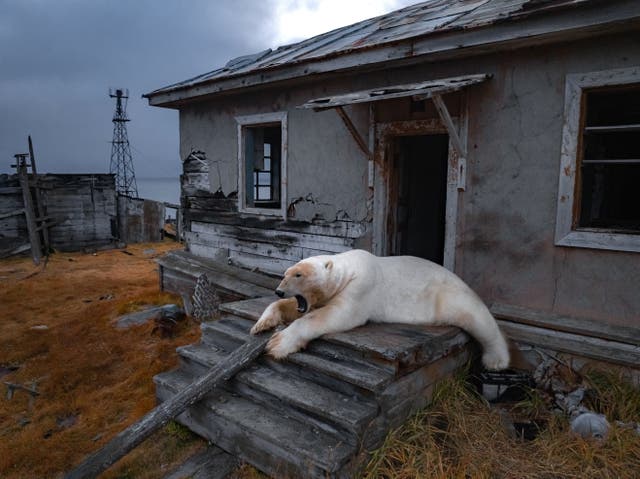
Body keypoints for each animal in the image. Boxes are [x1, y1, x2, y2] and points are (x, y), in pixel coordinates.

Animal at [251, 249, 510, 370]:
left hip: (450, 296)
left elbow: (334, 315)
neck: (349, 269)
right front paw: (262, 323)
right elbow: (299, 308)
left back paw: (496, 360)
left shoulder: (362, 287)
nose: (278, 290)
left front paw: (278, 344)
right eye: (285, 274)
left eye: (298, 274)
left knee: (479, 320)